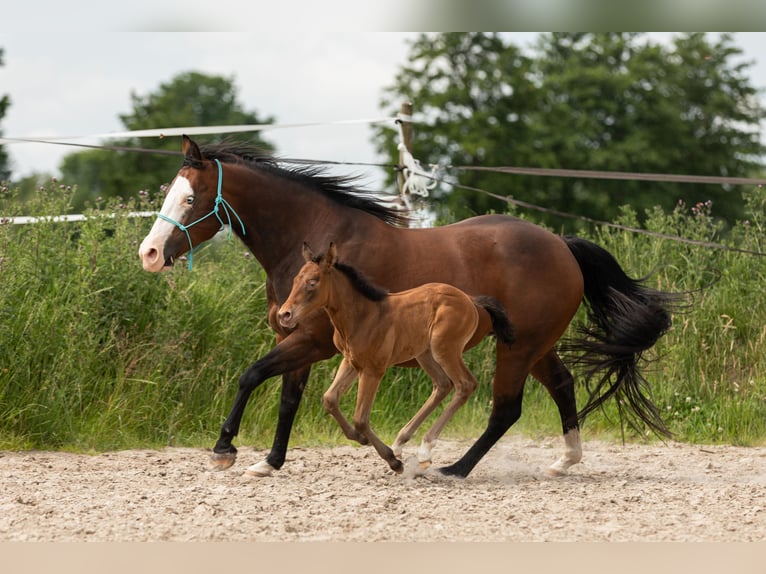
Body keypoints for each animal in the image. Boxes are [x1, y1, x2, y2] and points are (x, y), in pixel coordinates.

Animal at [277, 241, 516, 473]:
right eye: (295, 279)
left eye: (312, 282)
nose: (284, 315)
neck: (362, 316)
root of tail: (471, 300)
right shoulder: (351, 362)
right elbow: (329, 399)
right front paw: (361, 439)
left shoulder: (373, 369)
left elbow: (360, 418)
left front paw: (393, 461)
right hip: (425, 354)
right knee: (443, 384)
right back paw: (403, 442)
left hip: (444, 349)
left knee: (465, 384)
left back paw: (424, 449)